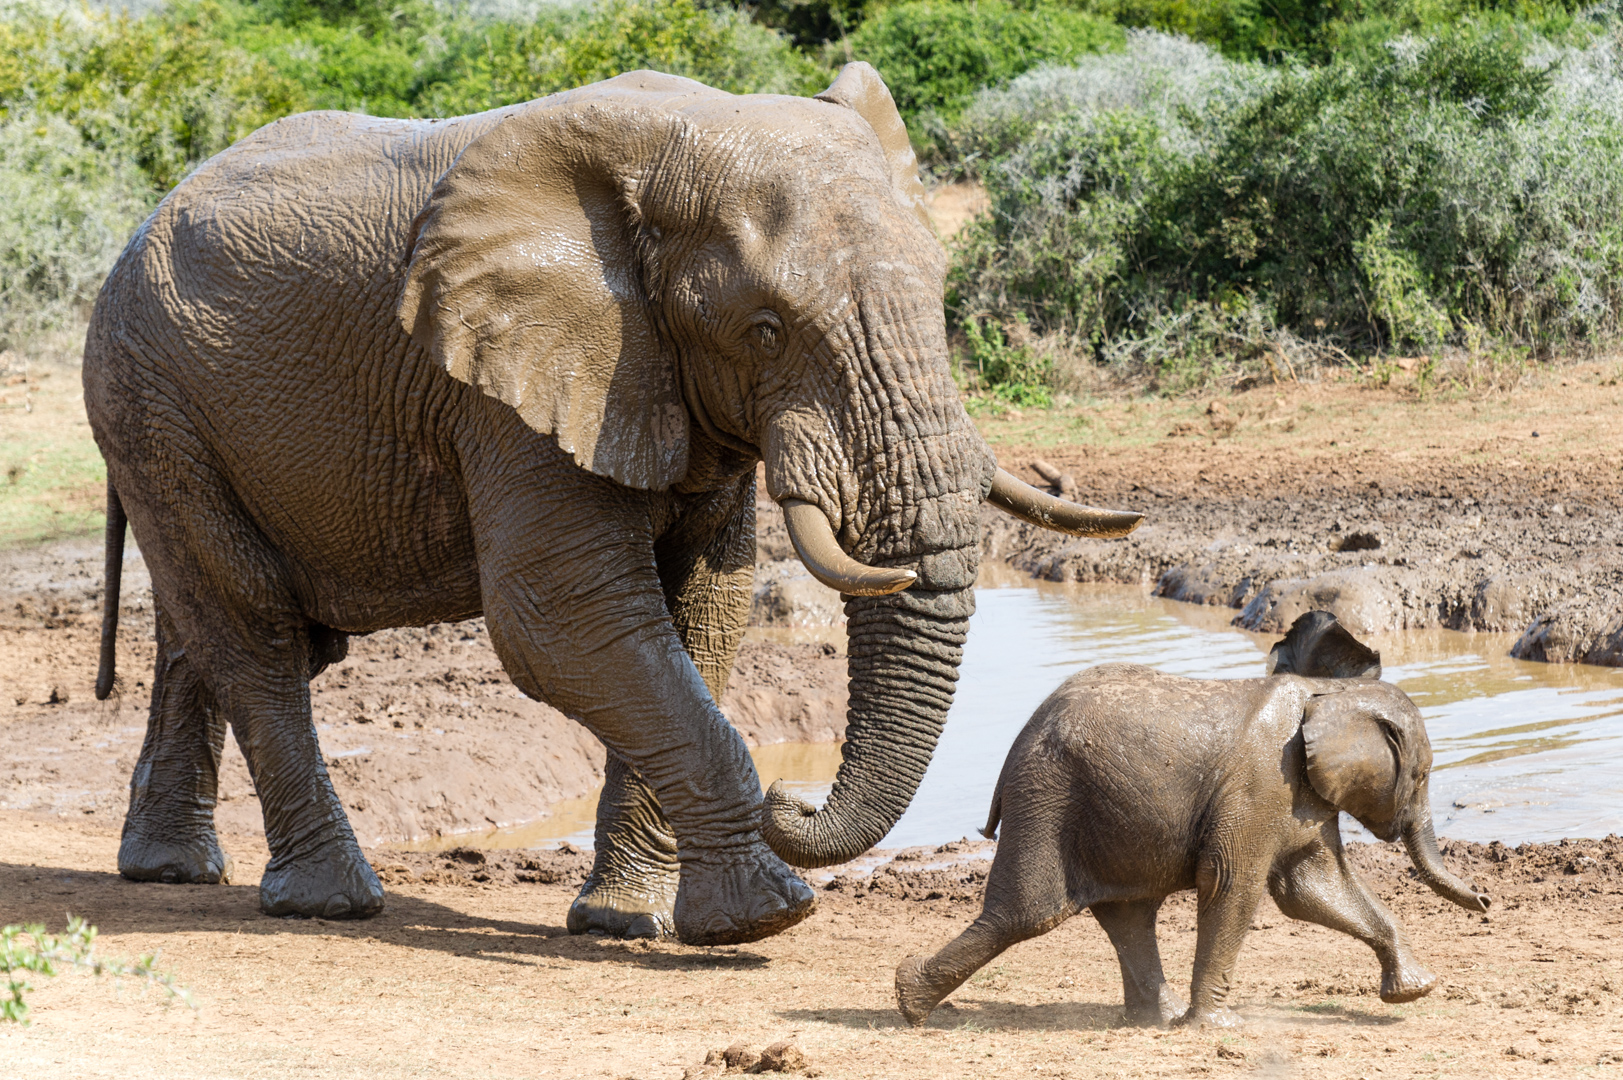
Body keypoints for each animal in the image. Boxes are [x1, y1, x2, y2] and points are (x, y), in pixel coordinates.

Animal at [85, 60, 1142, 941]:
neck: (677, 140)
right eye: (763, 329)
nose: (794, 802)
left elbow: (700, 610)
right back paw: (330, 902)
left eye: (937, 295)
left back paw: (172, 873)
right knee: (253, 628)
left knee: (201, 628)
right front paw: (761, 919)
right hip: (146, 400)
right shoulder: (501, 387)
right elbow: (563, 621)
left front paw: (630, 923)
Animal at [895, 610, 1486, 1026]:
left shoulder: (1302, 799)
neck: (1334, 694)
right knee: (1025, 913)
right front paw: (1218, 1026)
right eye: (1423, 776)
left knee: (1128, 913)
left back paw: (1159, 1019)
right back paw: (908, 1000)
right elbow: (1233, 884)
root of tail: (1018, 741)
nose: (1485, 901)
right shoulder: (1262, 783)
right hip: (1047, 795)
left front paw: (1416, 988)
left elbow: (1313, 889)